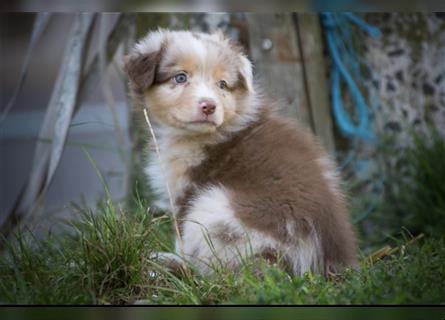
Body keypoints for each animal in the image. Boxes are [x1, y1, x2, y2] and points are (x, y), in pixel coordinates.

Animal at [122, 28, 358, 276]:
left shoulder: (187, 191)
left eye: (222, 84)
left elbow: (181, 236)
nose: (209, 106)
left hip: (214, 206)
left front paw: (178, 259)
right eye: (180, 77)